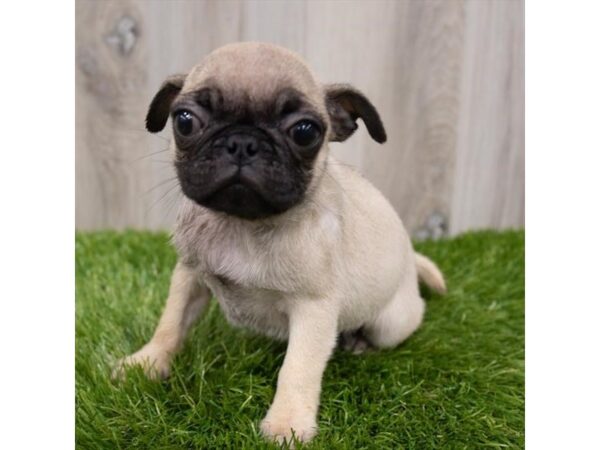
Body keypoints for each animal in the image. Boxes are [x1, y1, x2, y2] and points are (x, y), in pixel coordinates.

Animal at [116, 43, 446, 446]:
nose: (242, 142)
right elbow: (170, 324)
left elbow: (297, 369)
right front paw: (146, 362)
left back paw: (359, 343)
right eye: (184, 121)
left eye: (305, 132)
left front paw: (287, 424)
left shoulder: (313, 309)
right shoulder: (189, 276)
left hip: (391, 322)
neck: (242, 225)